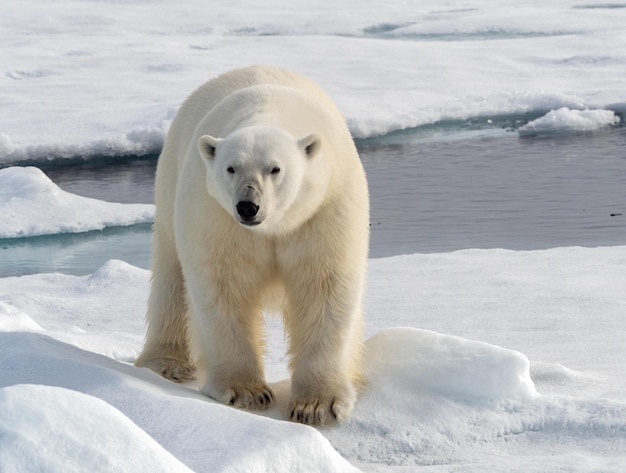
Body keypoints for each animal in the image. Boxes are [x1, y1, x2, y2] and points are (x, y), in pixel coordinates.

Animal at [132, 65, 366, 424]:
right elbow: (224, 285)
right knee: (170, 275)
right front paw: (247, 391)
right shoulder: (215, 215)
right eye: (231, 167)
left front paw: (316, 405)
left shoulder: (324, 209)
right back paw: (165, 363)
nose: (247, 206)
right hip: (170, 180)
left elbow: (324, 286)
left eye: (275, 168)